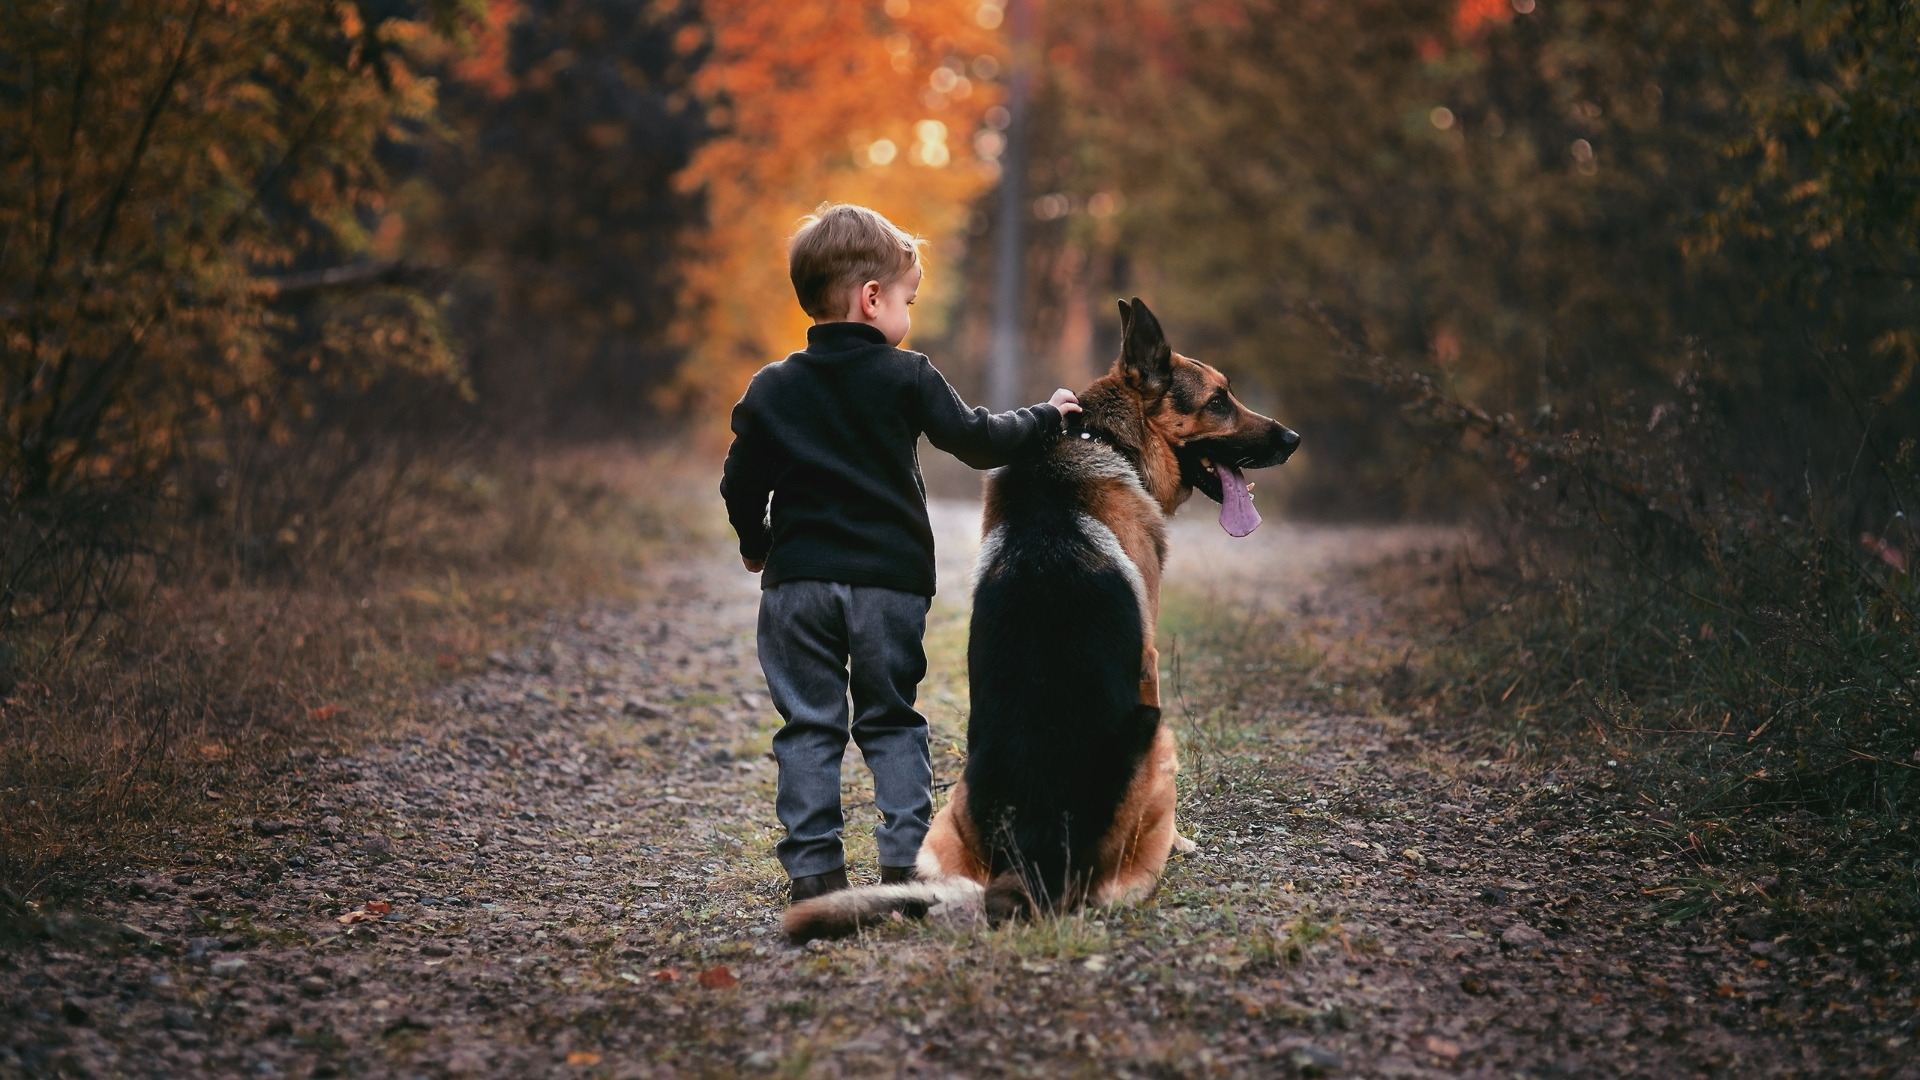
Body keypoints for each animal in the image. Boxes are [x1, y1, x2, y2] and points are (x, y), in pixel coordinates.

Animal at [783, 297, 1305, 937]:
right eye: (1219, 400)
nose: (1294, 439)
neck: (1102, 437)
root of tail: (1032, 860)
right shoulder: (1149, 660)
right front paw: (1183, 841)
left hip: (946, 819)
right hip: (1156, 735)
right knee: (1120, 884)